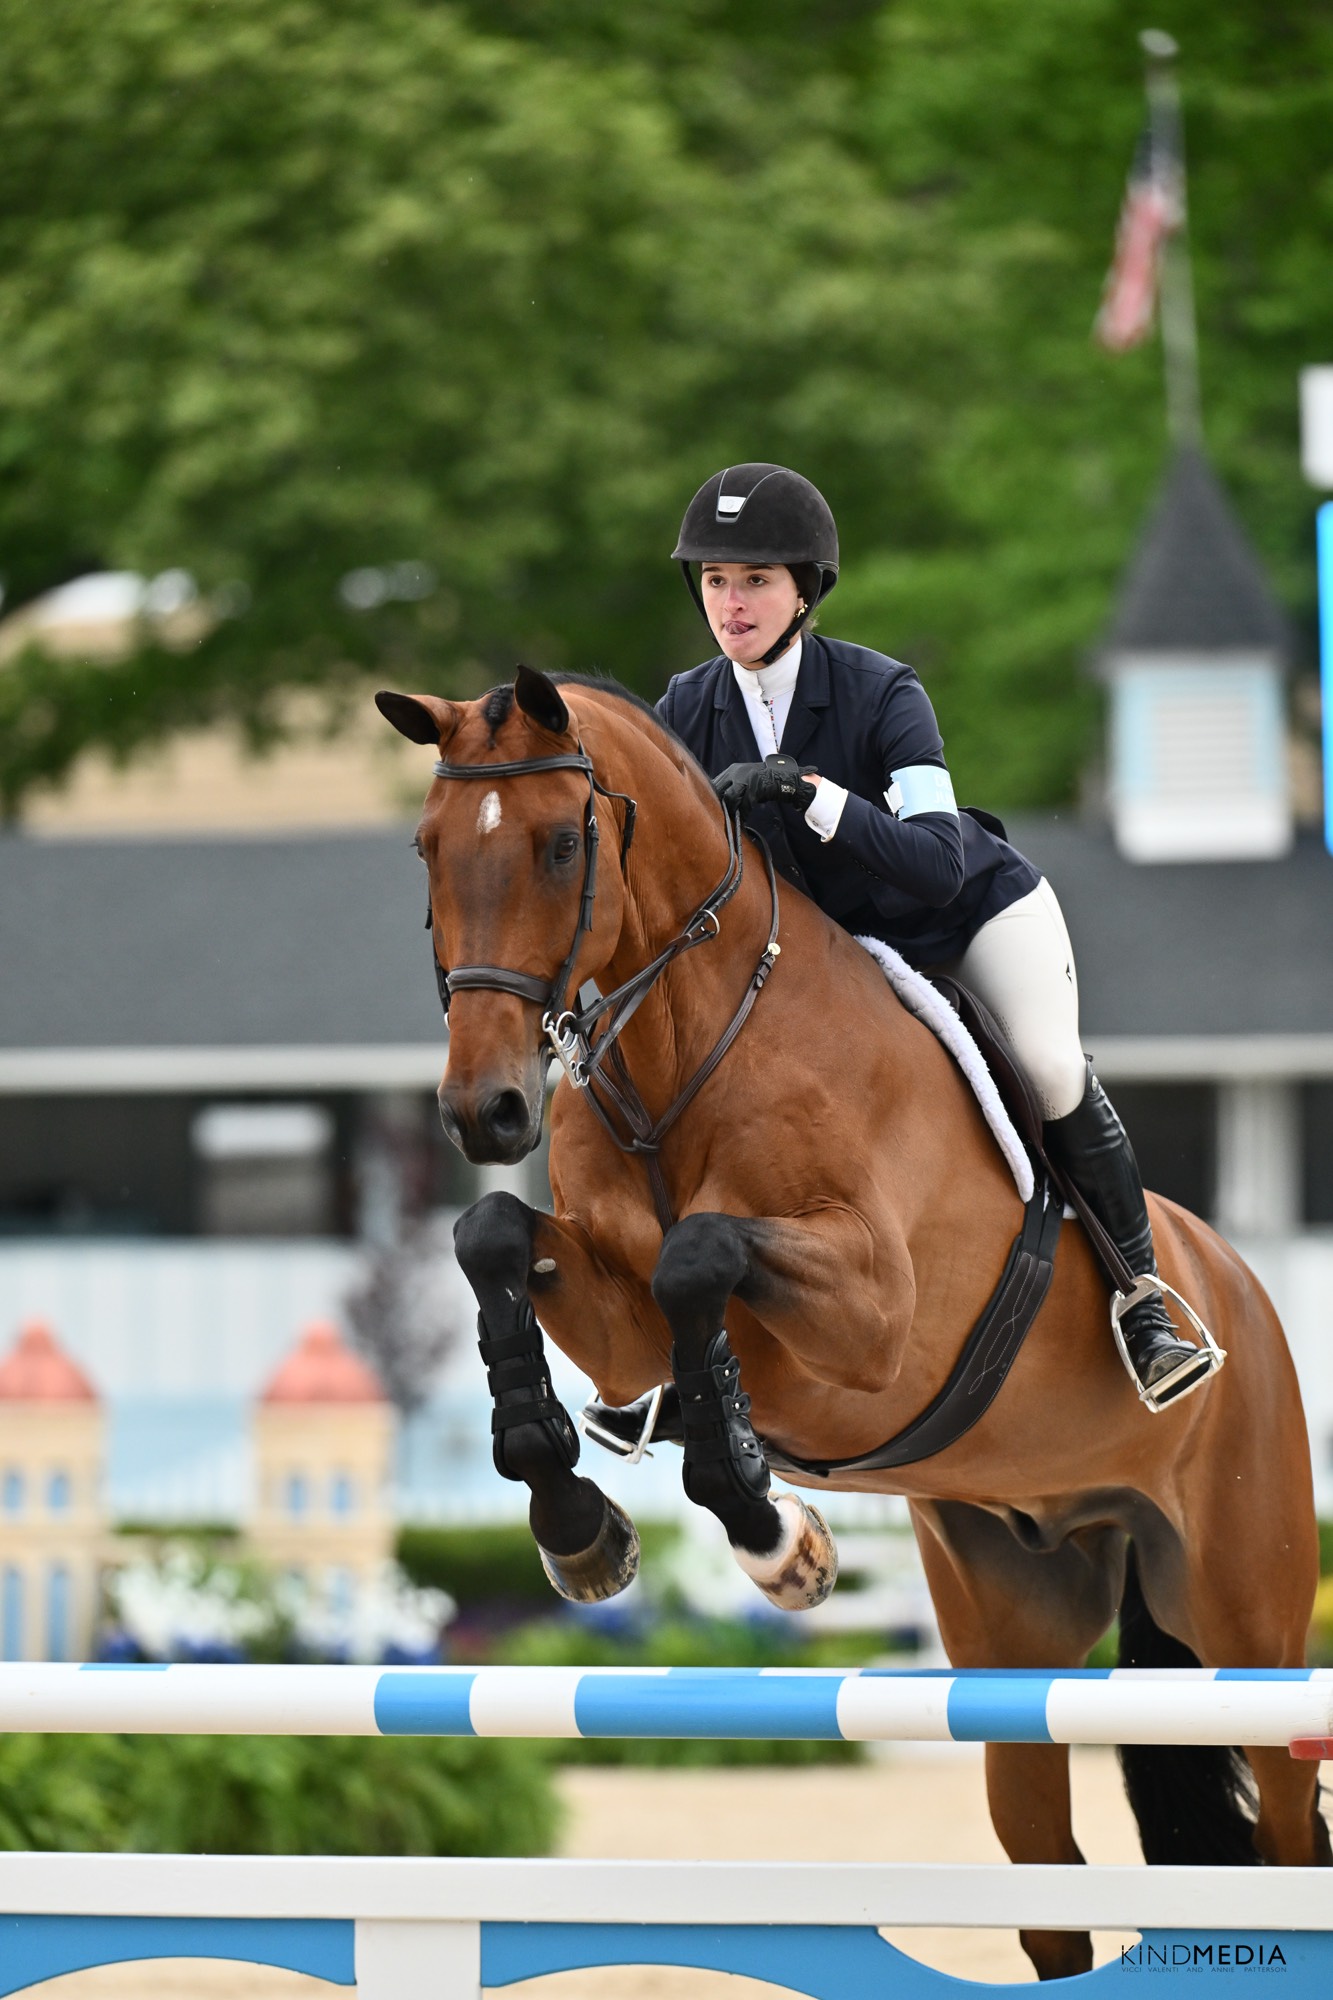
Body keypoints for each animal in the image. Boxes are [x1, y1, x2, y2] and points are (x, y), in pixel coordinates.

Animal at [377, 665, 1329, 1981]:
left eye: (561, 843)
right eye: (425, 849)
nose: (488, 1110)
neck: (688, 1047)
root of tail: (1235, 1279)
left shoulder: (870, 1317)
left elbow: (701, 1256)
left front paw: (775, 1533)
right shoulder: (619, 1321)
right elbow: (496, 1239)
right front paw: (579, 1523)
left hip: (1246, 1616)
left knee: (1288, 1832)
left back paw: (1159, 1336)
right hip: (1011, 1622)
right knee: (1047, 1872)